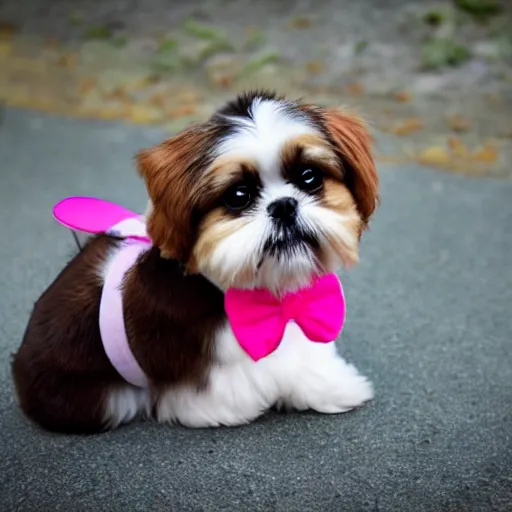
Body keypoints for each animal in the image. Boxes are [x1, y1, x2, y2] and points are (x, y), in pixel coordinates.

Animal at [12, 91, 378, 432]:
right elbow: (271, 371)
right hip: (98, 397)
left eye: (309, 177)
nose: (284, 205)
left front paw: (333, 383)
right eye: (239, 195)